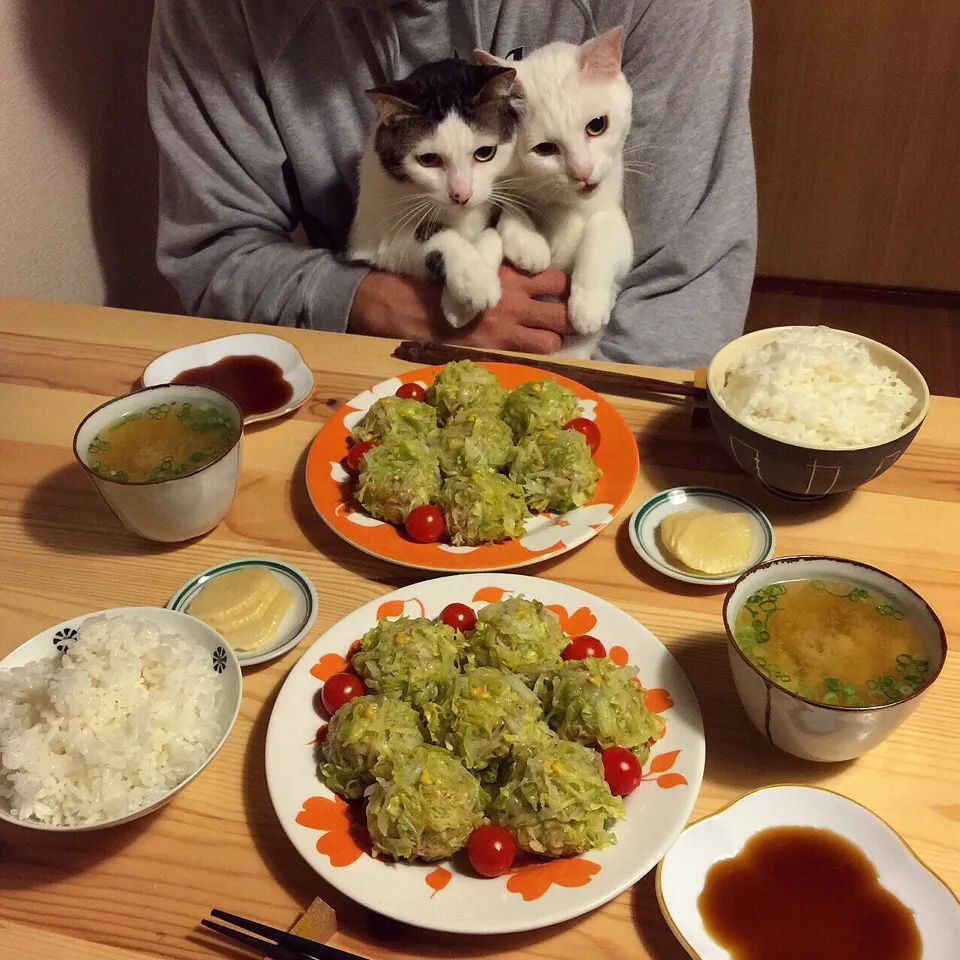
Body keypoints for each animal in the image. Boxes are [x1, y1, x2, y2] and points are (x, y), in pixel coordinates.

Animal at [348, 62, 520, 330]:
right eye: (428, 159)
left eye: (485, 152)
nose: (462, 195)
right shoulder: (376, 243)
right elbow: (433, 234)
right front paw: (474, 281)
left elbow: (493, 231)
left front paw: (459, 304)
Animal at [476, 31, 632, 360]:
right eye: (545, 149)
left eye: (597, 126)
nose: (582, 172)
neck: (567, 203)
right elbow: (510, 207)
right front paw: (528, 243)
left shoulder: (618, 223)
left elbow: (602, 227)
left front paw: (589, 304)